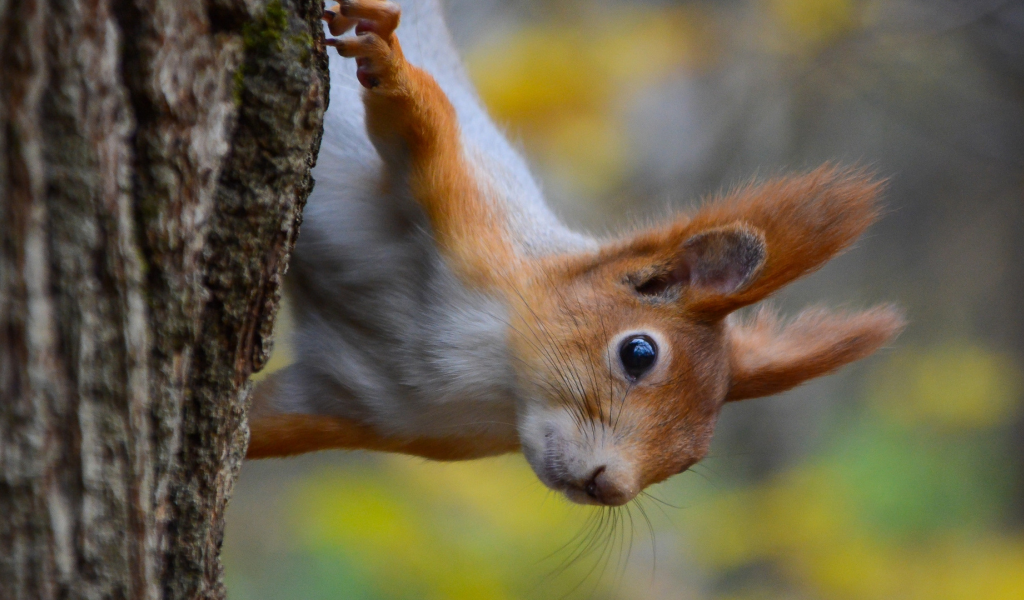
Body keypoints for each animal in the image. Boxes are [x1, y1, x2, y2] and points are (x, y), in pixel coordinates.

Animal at [247, 0, 905, 503]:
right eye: (639, 353)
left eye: (692, 457)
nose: (608, 488)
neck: (490, 370)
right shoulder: (468, 213)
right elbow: (420, 124)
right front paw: (387, 58)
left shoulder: (358, 404)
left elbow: (258, 426)